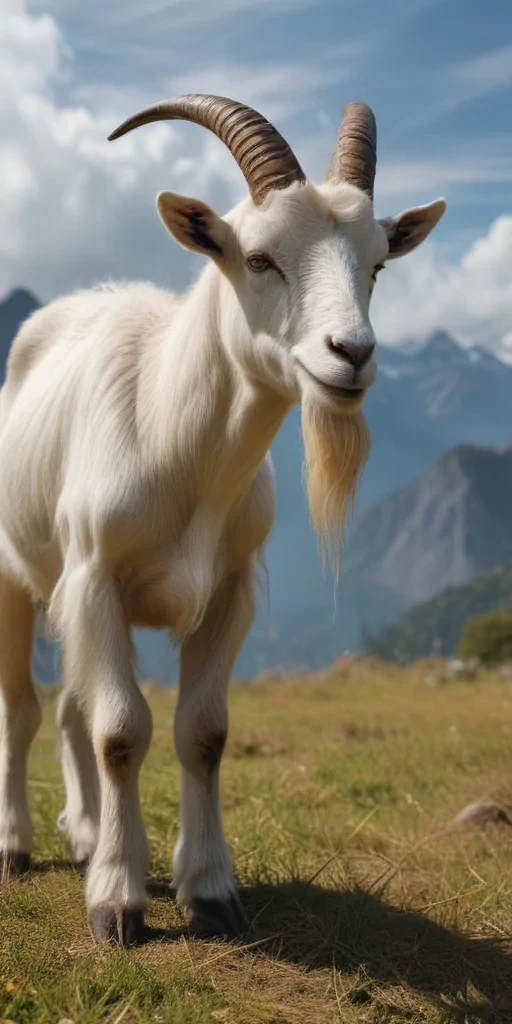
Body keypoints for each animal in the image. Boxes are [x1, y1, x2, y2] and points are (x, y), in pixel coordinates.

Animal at [0, 94, 446, 944]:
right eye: (260, 258)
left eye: (376, 264)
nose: (352, 354)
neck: (170, 427)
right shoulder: (96, 577)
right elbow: (121, 731)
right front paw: (117, 903)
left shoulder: (231, 589)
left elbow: (202, 733)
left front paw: (208, 890)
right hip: (17, 579)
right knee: (26, 707)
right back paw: (17, 847)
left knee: (71, 703)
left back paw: (84, 835)